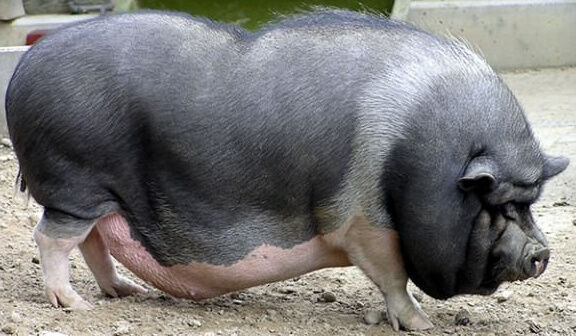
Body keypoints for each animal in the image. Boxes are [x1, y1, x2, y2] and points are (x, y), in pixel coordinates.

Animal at [4, 8, 568, 330]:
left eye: (531, 202)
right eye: (497, 202)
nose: (541, 253)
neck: (416, 154)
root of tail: (25, 68)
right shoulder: (362, 220)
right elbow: (392, 277)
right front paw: (423, 324)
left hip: (101, 193)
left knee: (95, 242)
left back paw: (123, 293)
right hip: (73, 179)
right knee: (52, 238)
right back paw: (74, 306)